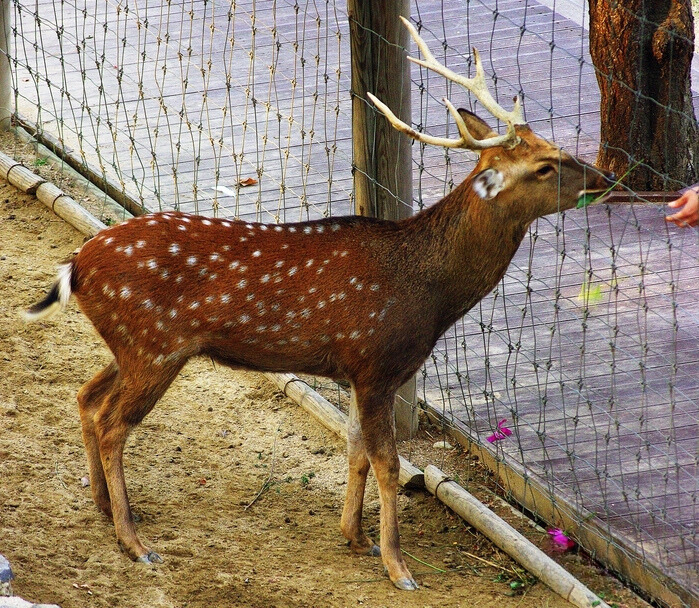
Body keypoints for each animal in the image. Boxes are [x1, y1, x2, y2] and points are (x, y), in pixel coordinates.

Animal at [24, 17, 615, 591]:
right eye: (544, 166)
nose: (607, 177)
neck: (431, 295)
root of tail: (75, 265)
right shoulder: (377, 363)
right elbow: (387, 463)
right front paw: (398, 568)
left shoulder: (356, 371)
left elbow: (355, 449)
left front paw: (354, 536)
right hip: (154, 346)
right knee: (112, 424)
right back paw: (134, 542)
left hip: (130, 345)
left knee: (86, 397)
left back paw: (105, 508)